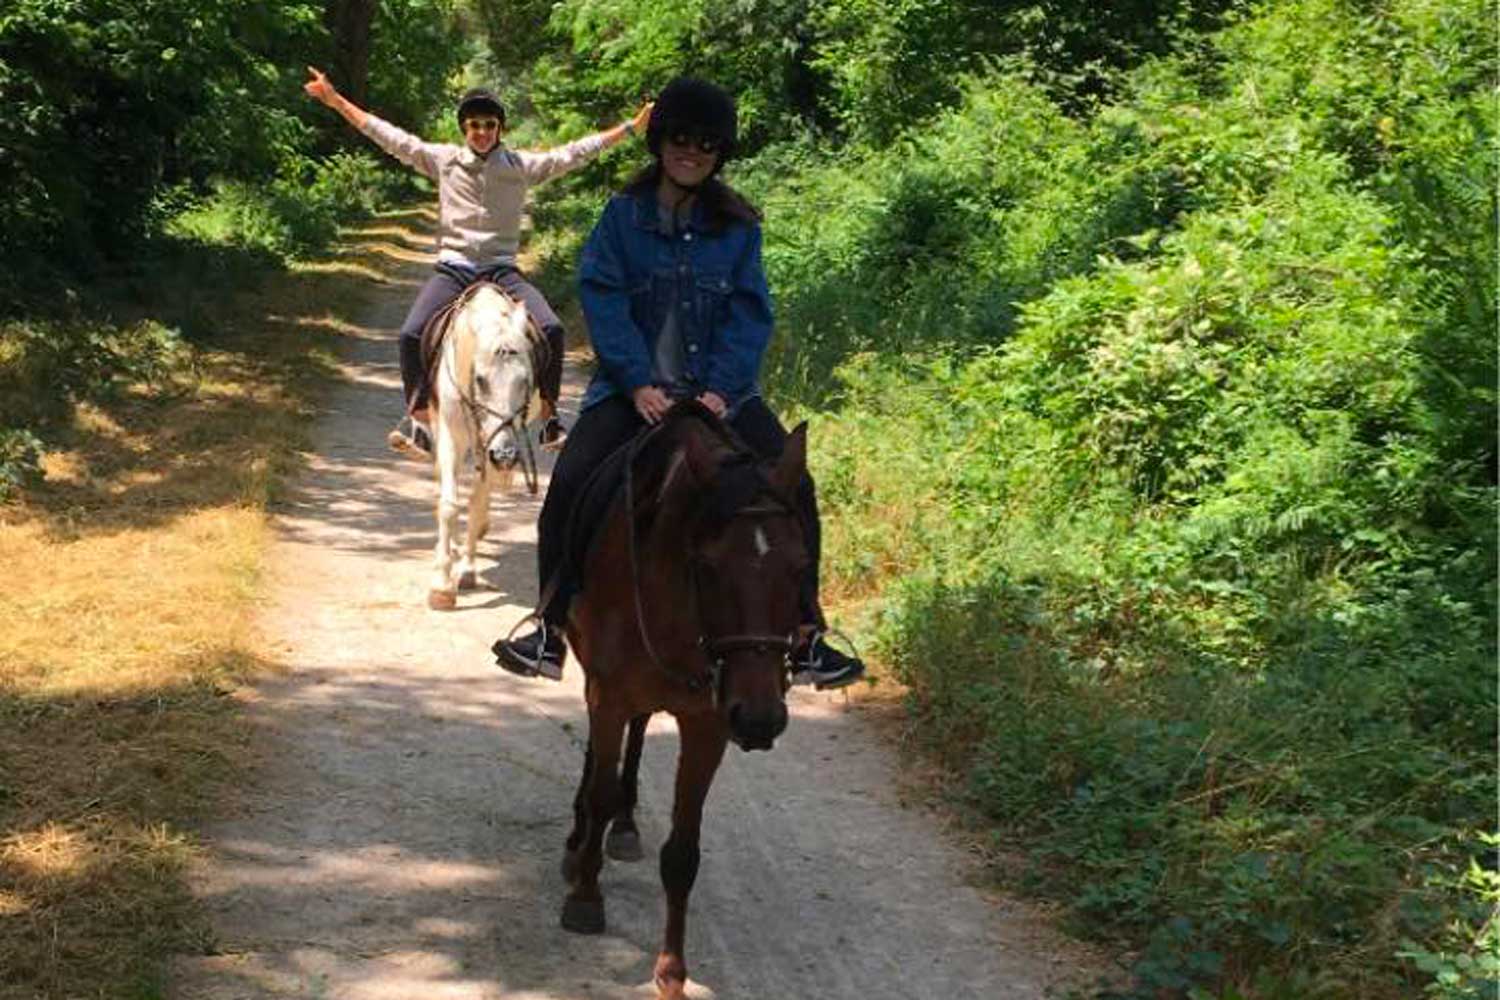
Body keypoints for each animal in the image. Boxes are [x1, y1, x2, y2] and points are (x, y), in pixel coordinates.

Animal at [426, 281, 543, 611]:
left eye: (525, 380)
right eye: (480, 379)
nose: (505, 455)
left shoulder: (494, 444)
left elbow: (476, 502)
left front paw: (467, 571)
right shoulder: (452, 436)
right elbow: (449, 505)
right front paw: (442, 586)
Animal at [558, 401, 810, 995]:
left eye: (800, 566)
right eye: (708, 567)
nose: (760, 719)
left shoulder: (709, 724)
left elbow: (683, 852)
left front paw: (671, 970)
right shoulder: (608, 693)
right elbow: (599, 788)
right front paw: (585, 897)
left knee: (638, 733)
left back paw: (625, 826)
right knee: (599, 760)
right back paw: (581, 839)